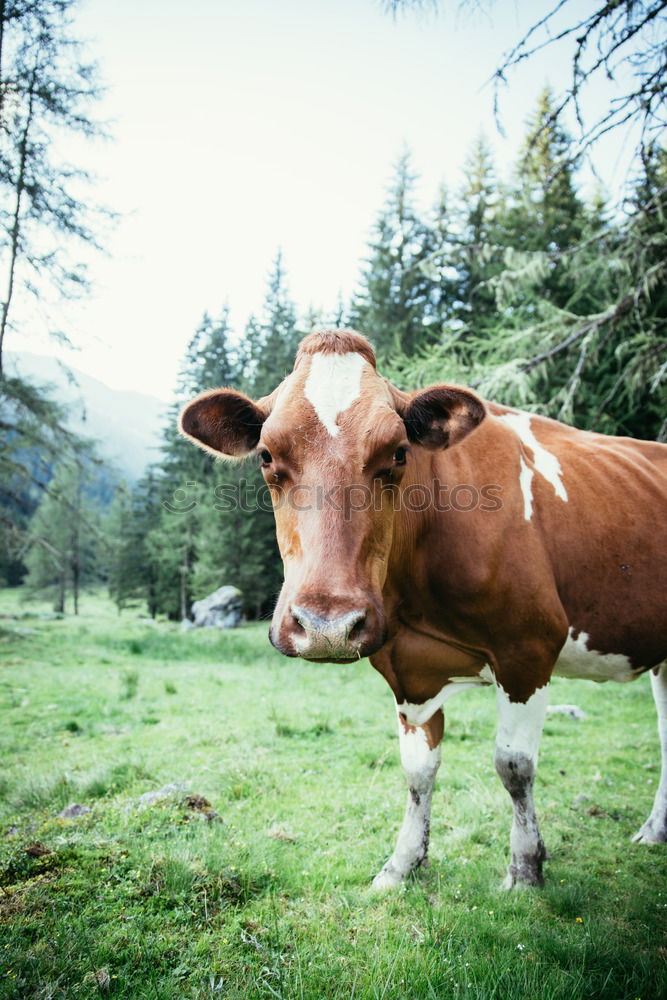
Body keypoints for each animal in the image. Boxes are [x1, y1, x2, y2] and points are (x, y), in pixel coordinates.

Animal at [181, 332, 667, 888]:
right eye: (265, 454)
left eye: (398, 452)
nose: (327, 626)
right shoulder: (408, 666)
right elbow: (417, 770)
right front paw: (402, 864)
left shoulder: (529, 648)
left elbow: (514, 766)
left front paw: (525, 869)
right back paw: (655, 830)